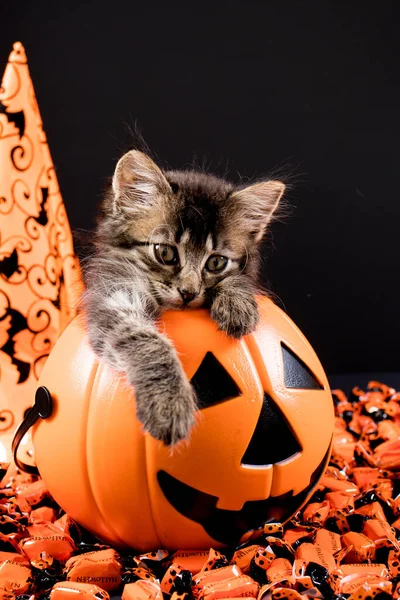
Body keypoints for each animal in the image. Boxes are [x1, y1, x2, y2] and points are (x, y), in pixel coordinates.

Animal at [83, 150, 284, 446]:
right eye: (165, 253)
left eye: (216, 263)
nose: (188, 293)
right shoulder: (116, 298)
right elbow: (149, 344)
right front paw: (168, 404)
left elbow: (240, 280)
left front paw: (237, 305)